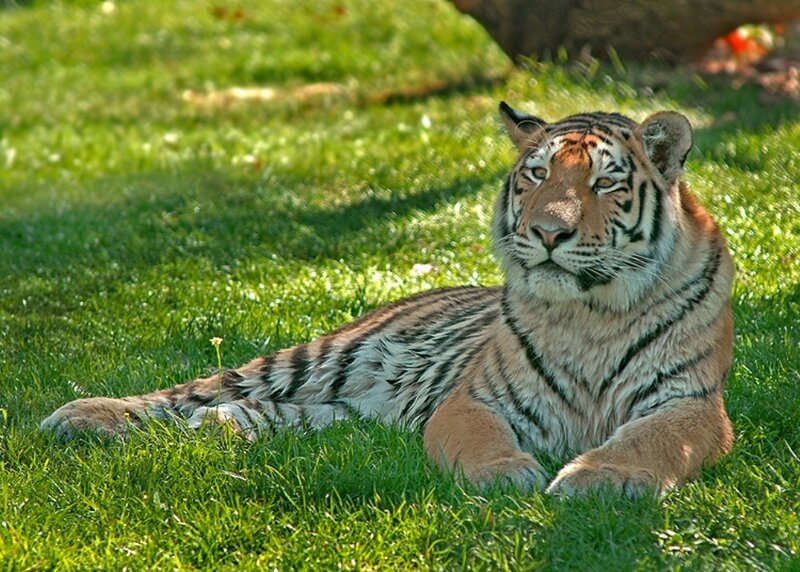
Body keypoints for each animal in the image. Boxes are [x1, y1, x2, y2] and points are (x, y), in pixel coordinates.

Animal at [41, 102, 734, 498]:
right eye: (537, 175)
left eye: (603, 183)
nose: (546, 233)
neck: (589, 311)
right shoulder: (474, 401)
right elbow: (481, 442)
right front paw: (507, 475)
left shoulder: (689, 403)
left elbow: (646, 442)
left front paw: (598, 479)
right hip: (316, 357)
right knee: (192, 391)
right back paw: (76, 417)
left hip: (345, 412)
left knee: (254, 414)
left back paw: (215, 429)